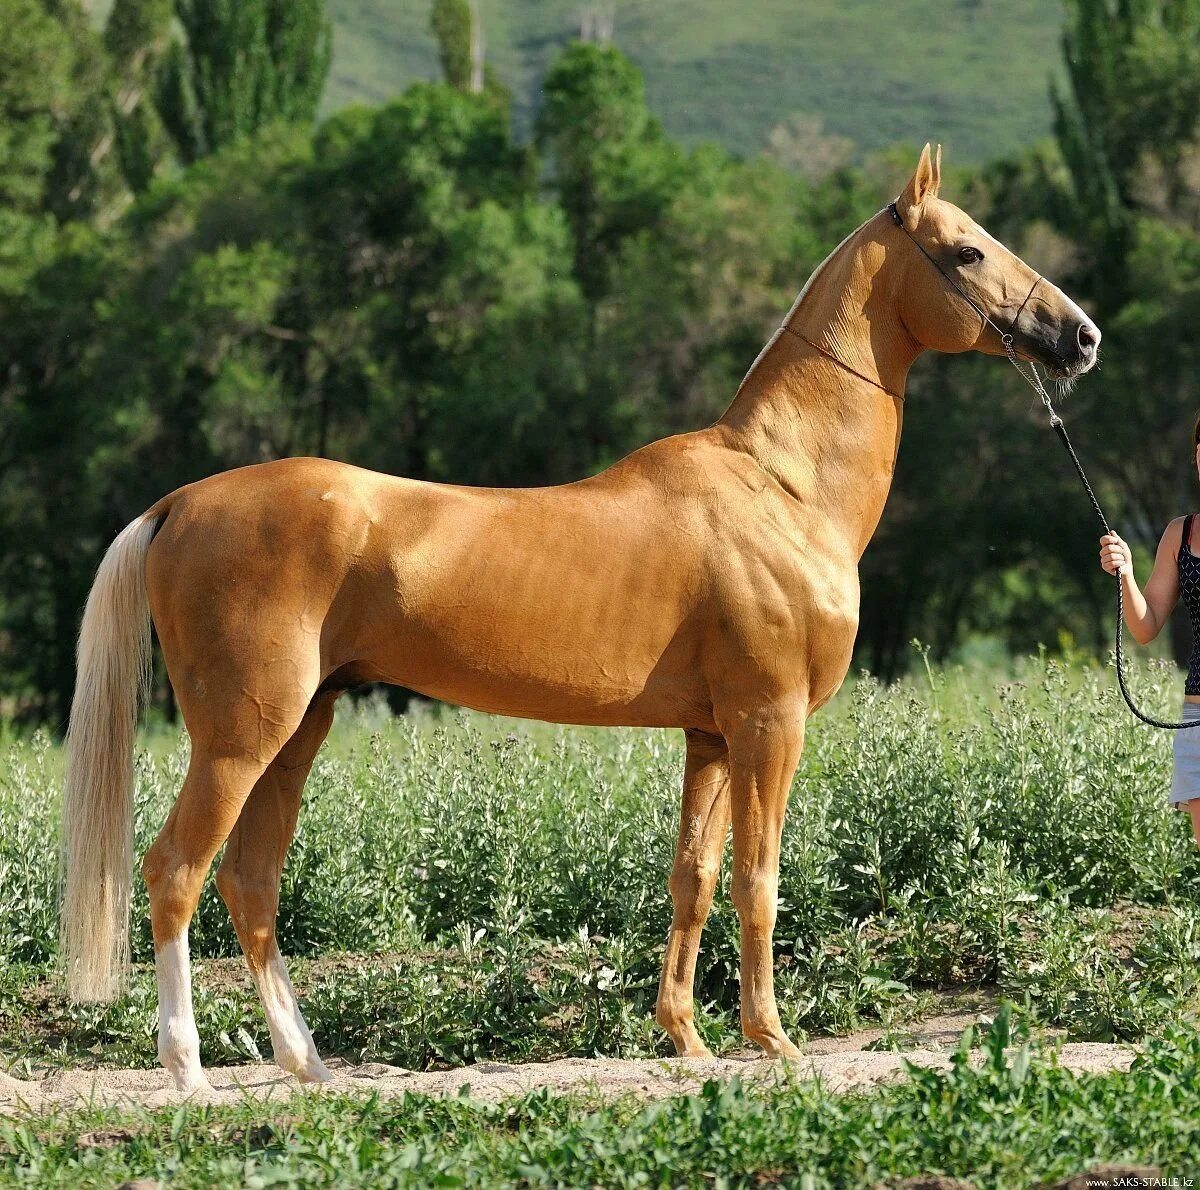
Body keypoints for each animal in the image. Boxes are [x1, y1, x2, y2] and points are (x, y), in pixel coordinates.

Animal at [63, 143, 1099, 1094]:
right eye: (966, 250)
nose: (1080, 337)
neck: (782, 485)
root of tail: (180, 503)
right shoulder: (769, 725)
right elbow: (758, 881)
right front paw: (772, 1041)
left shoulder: (711, 736)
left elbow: (694, 878)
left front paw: (686, 1039)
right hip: (240, 738)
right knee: (175, 872)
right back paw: (189, 1073)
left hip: (299, 730)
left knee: (251, 882)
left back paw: (310, 1065)